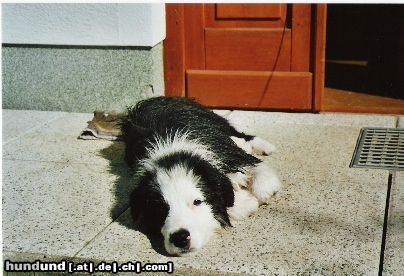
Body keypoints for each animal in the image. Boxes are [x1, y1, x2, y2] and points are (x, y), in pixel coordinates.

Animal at [120, 96, 280, 256]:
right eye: (159, 209)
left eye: (197, 202)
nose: (180, 238)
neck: (172, 151)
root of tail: (154, 99)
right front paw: (244, 200)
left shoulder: (228, 152)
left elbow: (256, 169)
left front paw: (263, 190)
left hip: (212, 119)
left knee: (237, 133)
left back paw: (261, 146)